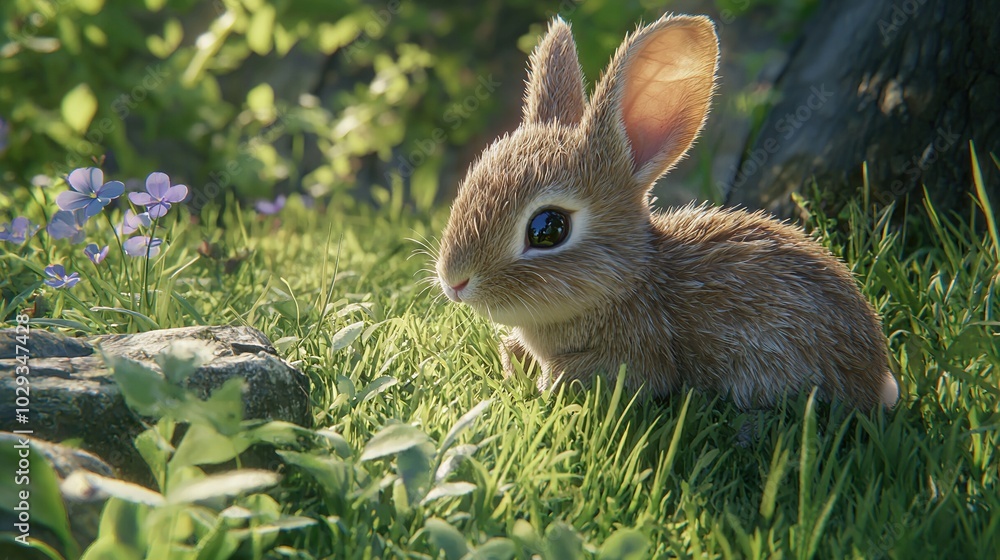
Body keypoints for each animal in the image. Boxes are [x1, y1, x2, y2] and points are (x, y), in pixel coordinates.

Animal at [434, 14, 899, 410]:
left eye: (548, 229)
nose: (454, 281)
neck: (632, 283)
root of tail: (876, 376)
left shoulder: (639, 352)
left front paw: (547, 383)